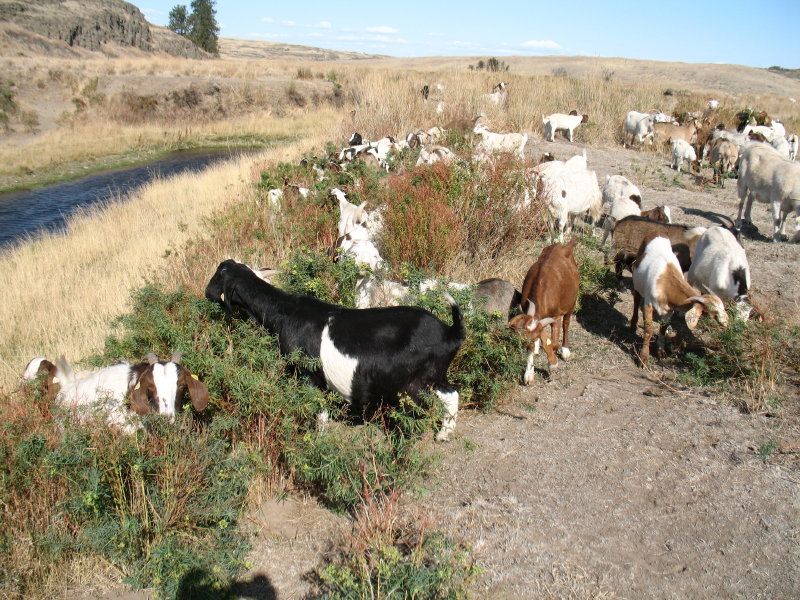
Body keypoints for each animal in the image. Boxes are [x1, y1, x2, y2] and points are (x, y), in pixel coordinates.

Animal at [205, 258, 468, 440]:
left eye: (220, 274)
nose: (207, 293)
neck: (284, 312)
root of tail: (451, 332)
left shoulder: (308, 375)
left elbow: (318, 410)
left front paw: (316, 439)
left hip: (420, 382)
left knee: (444, 398)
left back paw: (434, 436)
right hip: (432, 377)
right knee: (451, 393)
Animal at [510, 239, 580, 384]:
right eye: (524, 343)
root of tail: (564, 246)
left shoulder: (556, 315)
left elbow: (553, 342)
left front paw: (553, 364)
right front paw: (529, 374)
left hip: (572, 300)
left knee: (566, 323)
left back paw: (565, 350)